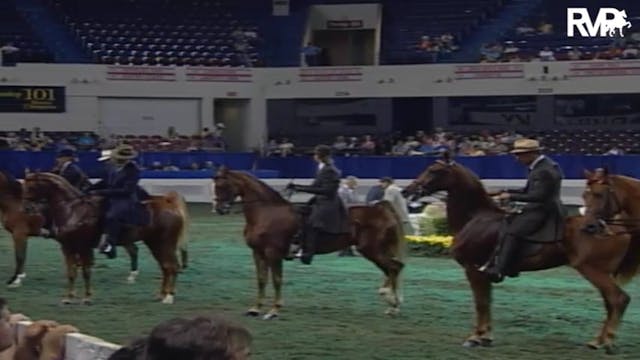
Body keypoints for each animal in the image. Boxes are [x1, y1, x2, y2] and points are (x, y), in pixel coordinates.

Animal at [23, 172, 189, 304]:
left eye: (30, 187)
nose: (26, 208)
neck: (73, 211)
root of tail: (169, 205)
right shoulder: (67, 248)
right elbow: (71, 273)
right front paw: (68, 298)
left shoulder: (84, 247)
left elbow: (86, 272)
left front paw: (87, 298)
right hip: (155, 244)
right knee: (165, 267)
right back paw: (161, 295)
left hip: (165, 243)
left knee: (172, 266)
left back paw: (169, 297)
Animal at [215, 167, 404, 320]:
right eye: (215, 185)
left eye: (223, 186)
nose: (220, 209)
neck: (267, 213)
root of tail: (381, 209)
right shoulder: (258, 253)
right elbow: (261, 280)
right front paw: (255, 309)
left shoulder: (273, 253)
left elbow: (277, 280)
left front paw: (274, 311)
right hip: (375, 251)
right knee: (391, 269)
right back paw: (390, 301)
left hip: (372, 250)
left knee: (394, 268)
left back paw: (394, 305)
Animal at [404, 158, 636, 354]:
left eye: (434, 170)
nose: (408, 190)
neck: (475, 217)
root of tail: (611, 226)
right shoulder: (483, 272)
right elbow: (487, 302)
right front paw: (485, 336)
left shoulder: (473, 269)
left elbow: (481, 303)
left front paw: (475, 337)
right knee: (611, 303)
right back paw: (599, 340)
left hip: (593, 270)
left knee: (619, 299)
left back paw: (606, 342)